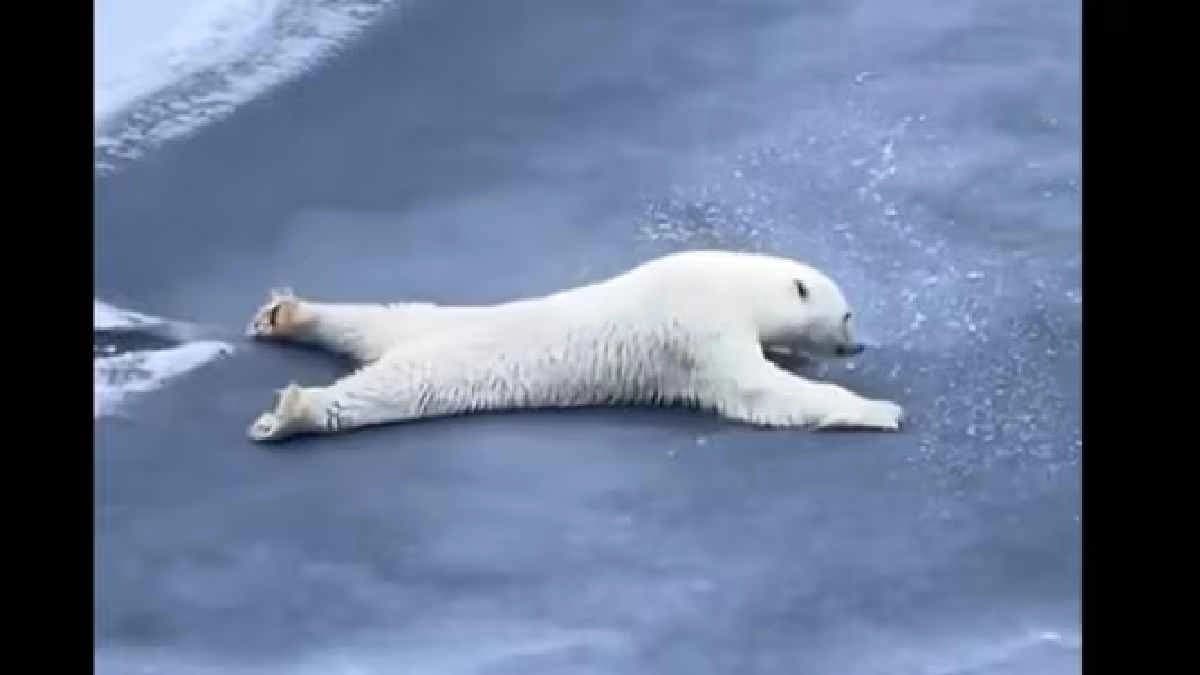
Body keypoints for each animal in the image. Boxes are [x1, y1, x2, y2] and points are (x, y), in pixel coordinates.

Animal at [245, 250, 904, 441]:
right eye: (847, 314)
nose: (859, 347)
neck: (728, 281)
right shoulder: (697, 327)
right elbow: (756, 390)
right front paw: (882, 410)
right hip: (438, 364)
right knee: (386, 391)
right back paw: (291, 413)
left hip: (419, 325)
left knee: (376, 318)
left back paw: (286, 314)